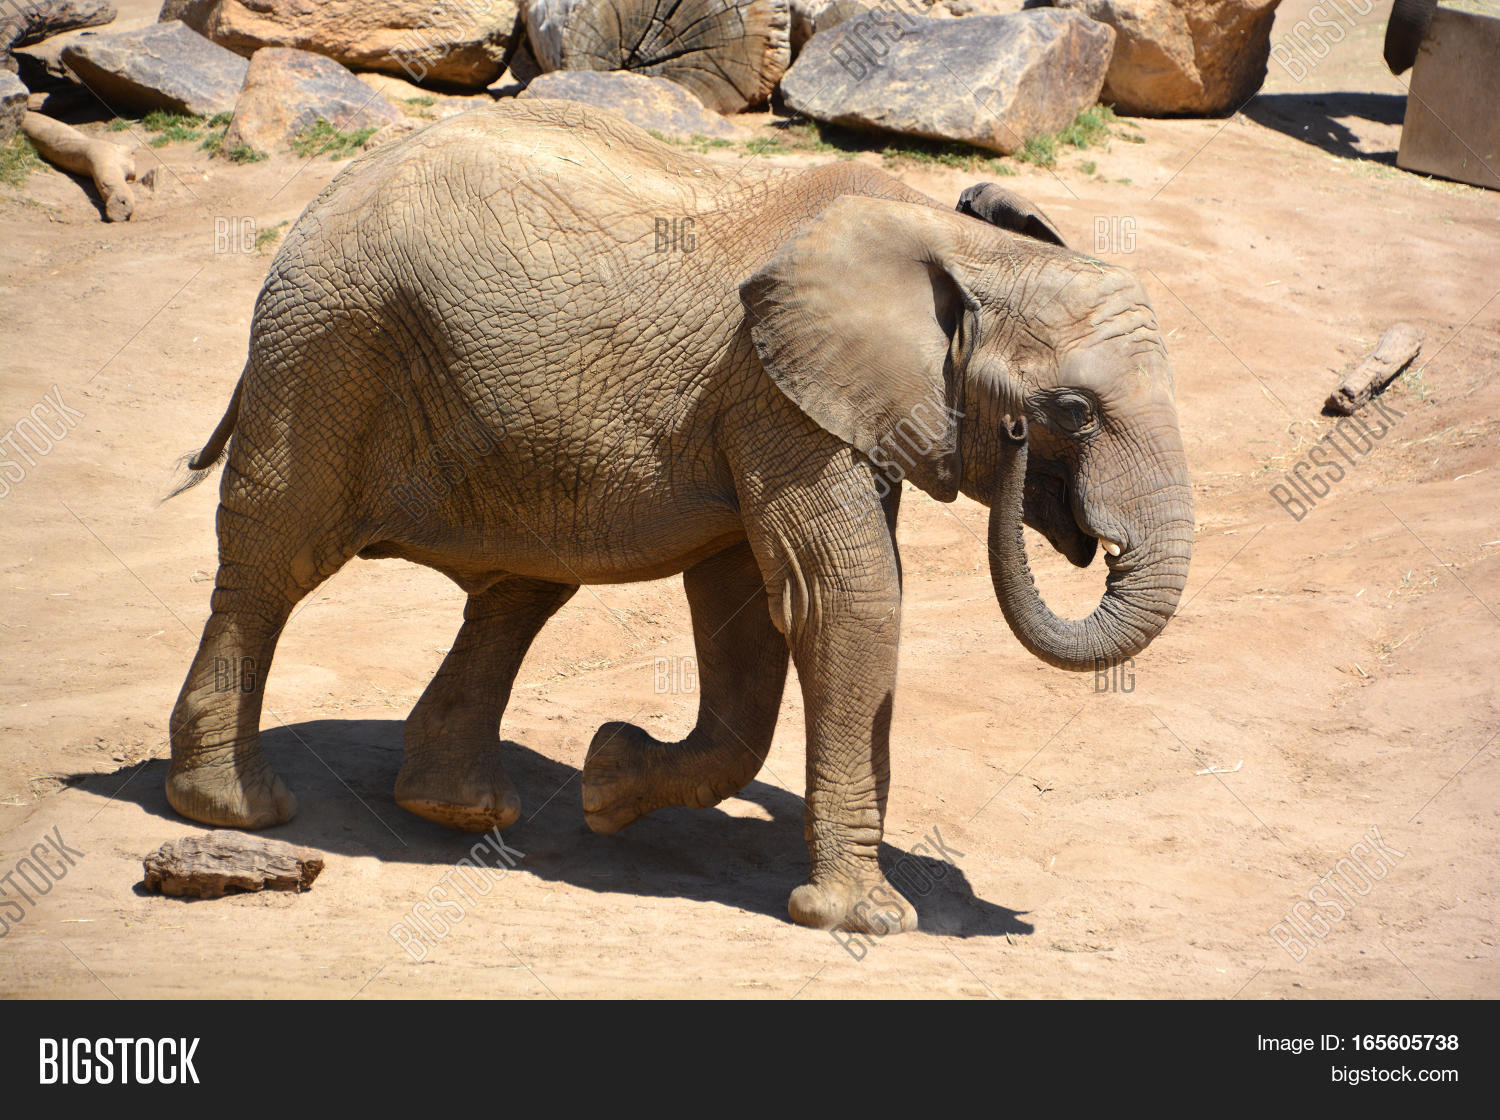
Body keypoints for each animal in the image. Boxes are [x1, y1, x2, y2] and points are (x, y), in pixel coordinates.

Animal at [166, 100, 1192, 933]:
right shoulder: (772, 393)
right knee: (275, 558)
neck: (951, 239)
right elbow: (844, 599)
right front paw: (865, 920)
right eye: (1072, 412)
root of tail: (329, 192)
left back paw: (457, 810)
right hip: (325, 349)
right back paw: (236, 810)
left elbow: (756, 605)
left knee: (521, 587)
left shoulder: (806, 403)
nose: (1023, 451)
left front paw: (607, 780)